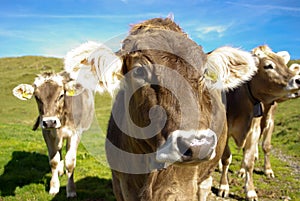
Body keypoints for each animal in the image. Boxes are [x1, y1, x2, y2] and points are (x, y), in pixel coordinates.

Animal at [218, 44, 300, 200]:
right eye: (268, 66)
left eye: (283, 63)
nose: (298, 80)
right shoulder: (225, 128)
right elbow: (226, 158)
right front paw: (223, 186)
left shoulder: (257, 129)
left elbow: (251, 159)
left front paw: (251, 190)